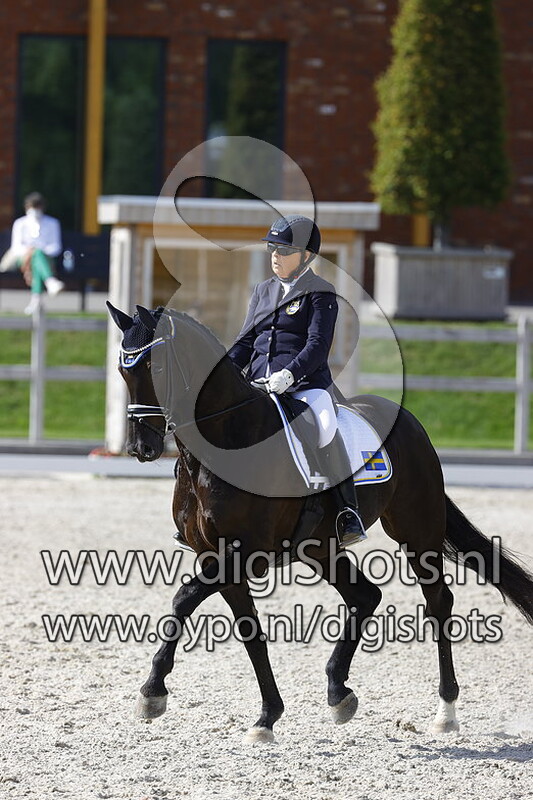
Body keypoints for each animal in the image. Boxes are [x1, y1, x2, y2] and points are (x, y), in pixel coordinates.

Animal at [107, 301, 533, 743]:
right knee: (366, 596)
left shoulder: (246, 553)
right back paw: (338, 690)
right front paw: (267, 717)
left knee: (438, 603)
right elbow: (248, 630)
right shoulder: (216, 555)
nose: (141, 447)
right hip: (321, 547)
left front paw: (152, 692)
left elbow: (183, 598)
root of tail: (410, 422)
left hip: (416, 529)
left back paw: (445, 711)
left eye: (156, 367)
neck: (223, 443)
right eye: (122, 370)